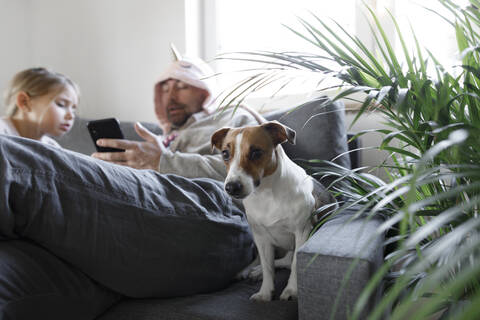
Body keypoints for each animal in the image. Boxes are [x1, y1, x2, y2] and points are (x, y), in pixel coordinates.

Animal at [210, 111, 338, 302]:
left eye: (256, 152)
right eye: (225, 153)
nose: (231, 187)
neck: (266, 194)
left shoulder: (302, 232)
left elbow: (295, 265)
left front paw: (292, 290)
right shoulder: (261, 238)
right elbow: (268, 267)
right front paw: (265, 292)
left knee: (288, 262)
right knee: (277, 262)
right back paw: (252, 271)